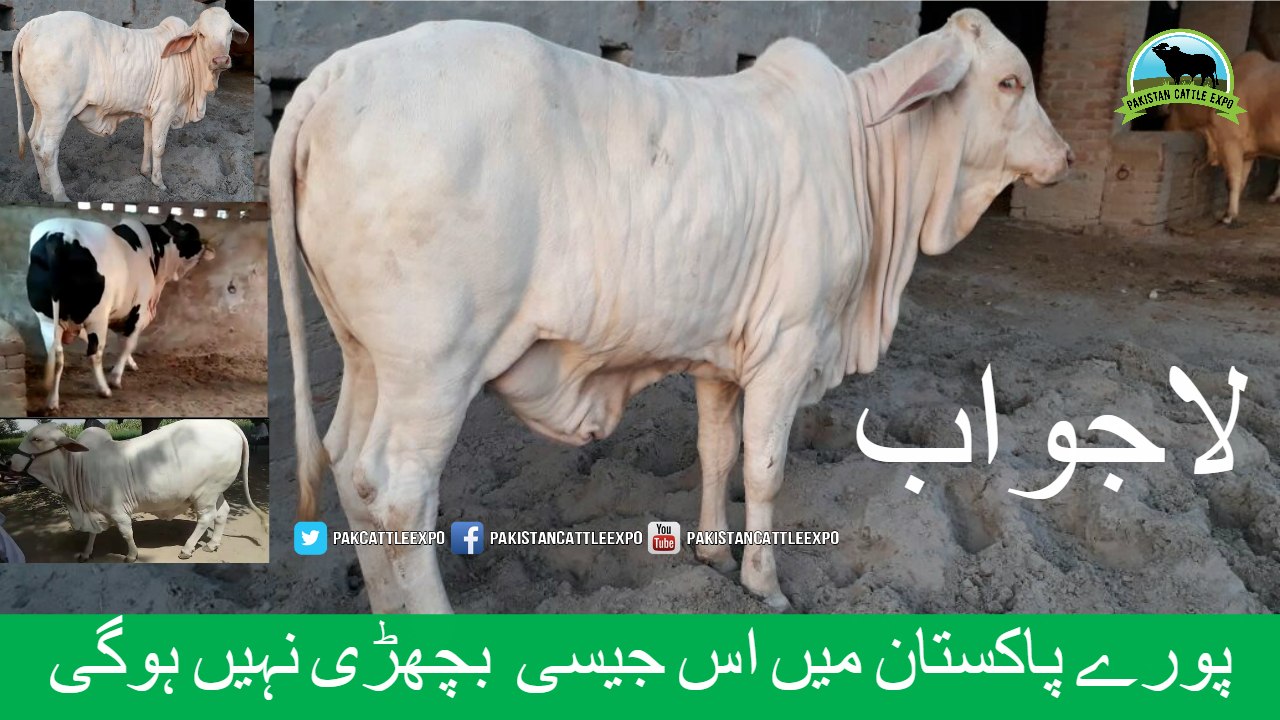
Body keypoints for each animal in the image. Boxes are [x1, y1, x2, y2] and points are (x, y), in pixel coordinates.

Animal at [5, 419, 267, 562]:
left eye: (36, 439)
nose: (9, 462)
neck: (79, 467)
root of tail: (229, 425)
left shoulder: (117, 509)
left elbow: (126, 532)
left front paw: (132, 555)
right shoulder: (95, 508)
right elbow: (92, 534)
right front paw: (86, 552)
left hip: (206, 492)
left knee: (206, 518)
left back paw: (187, 548)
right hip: (215, 490)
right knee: (222, 513)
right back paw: (212, 544)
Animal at [12, 7, 249, 201]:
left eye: (229, 31)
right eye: (201, 34)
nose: (220, 60)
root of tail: (33, 25)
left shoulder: (150, 112)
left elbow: (148, 142)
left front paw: (145, 172)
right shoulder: (165, 110)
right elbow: (159, 148)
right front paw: (159, 183)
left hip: (41, 108)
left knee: (34, 140)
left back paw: (45, 188)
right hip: (58, 112)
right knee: (48, 148)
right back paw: (61, 196)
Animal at [26, 215, 215, 411]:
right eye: (193, 234)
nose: (209, 248)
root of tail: (60, 236)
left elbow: (118, 339)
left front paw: (130, 363)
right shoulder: (137, 311)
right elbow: (128, 343)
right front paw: (116, 377)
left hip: (47, 320)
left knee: (57, 355)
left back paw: (52, 401)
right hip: (97, 318)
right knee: (94, 353)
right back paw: (104, 389)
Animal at [272, 10, 1071, 613]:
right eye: (1010, 81)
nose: (1064, 156)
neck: (868, 154)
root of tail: (336, 76)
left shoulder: (722, 353)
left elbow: (717, 452)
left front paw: (713, 553)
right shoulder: (788, 345)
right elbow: (767, 468)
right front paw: (764, 583)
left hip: (368, 358)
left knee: (349, 470)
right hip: (433, 368)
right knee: (399, 496)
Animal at [1167, 51, 1280, 224]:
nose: (1165, 128)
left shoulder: (1230, 142)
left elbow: (1232, 180)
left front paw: (1229, 215)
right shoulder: (1248, 152)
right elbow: (1241, 181)